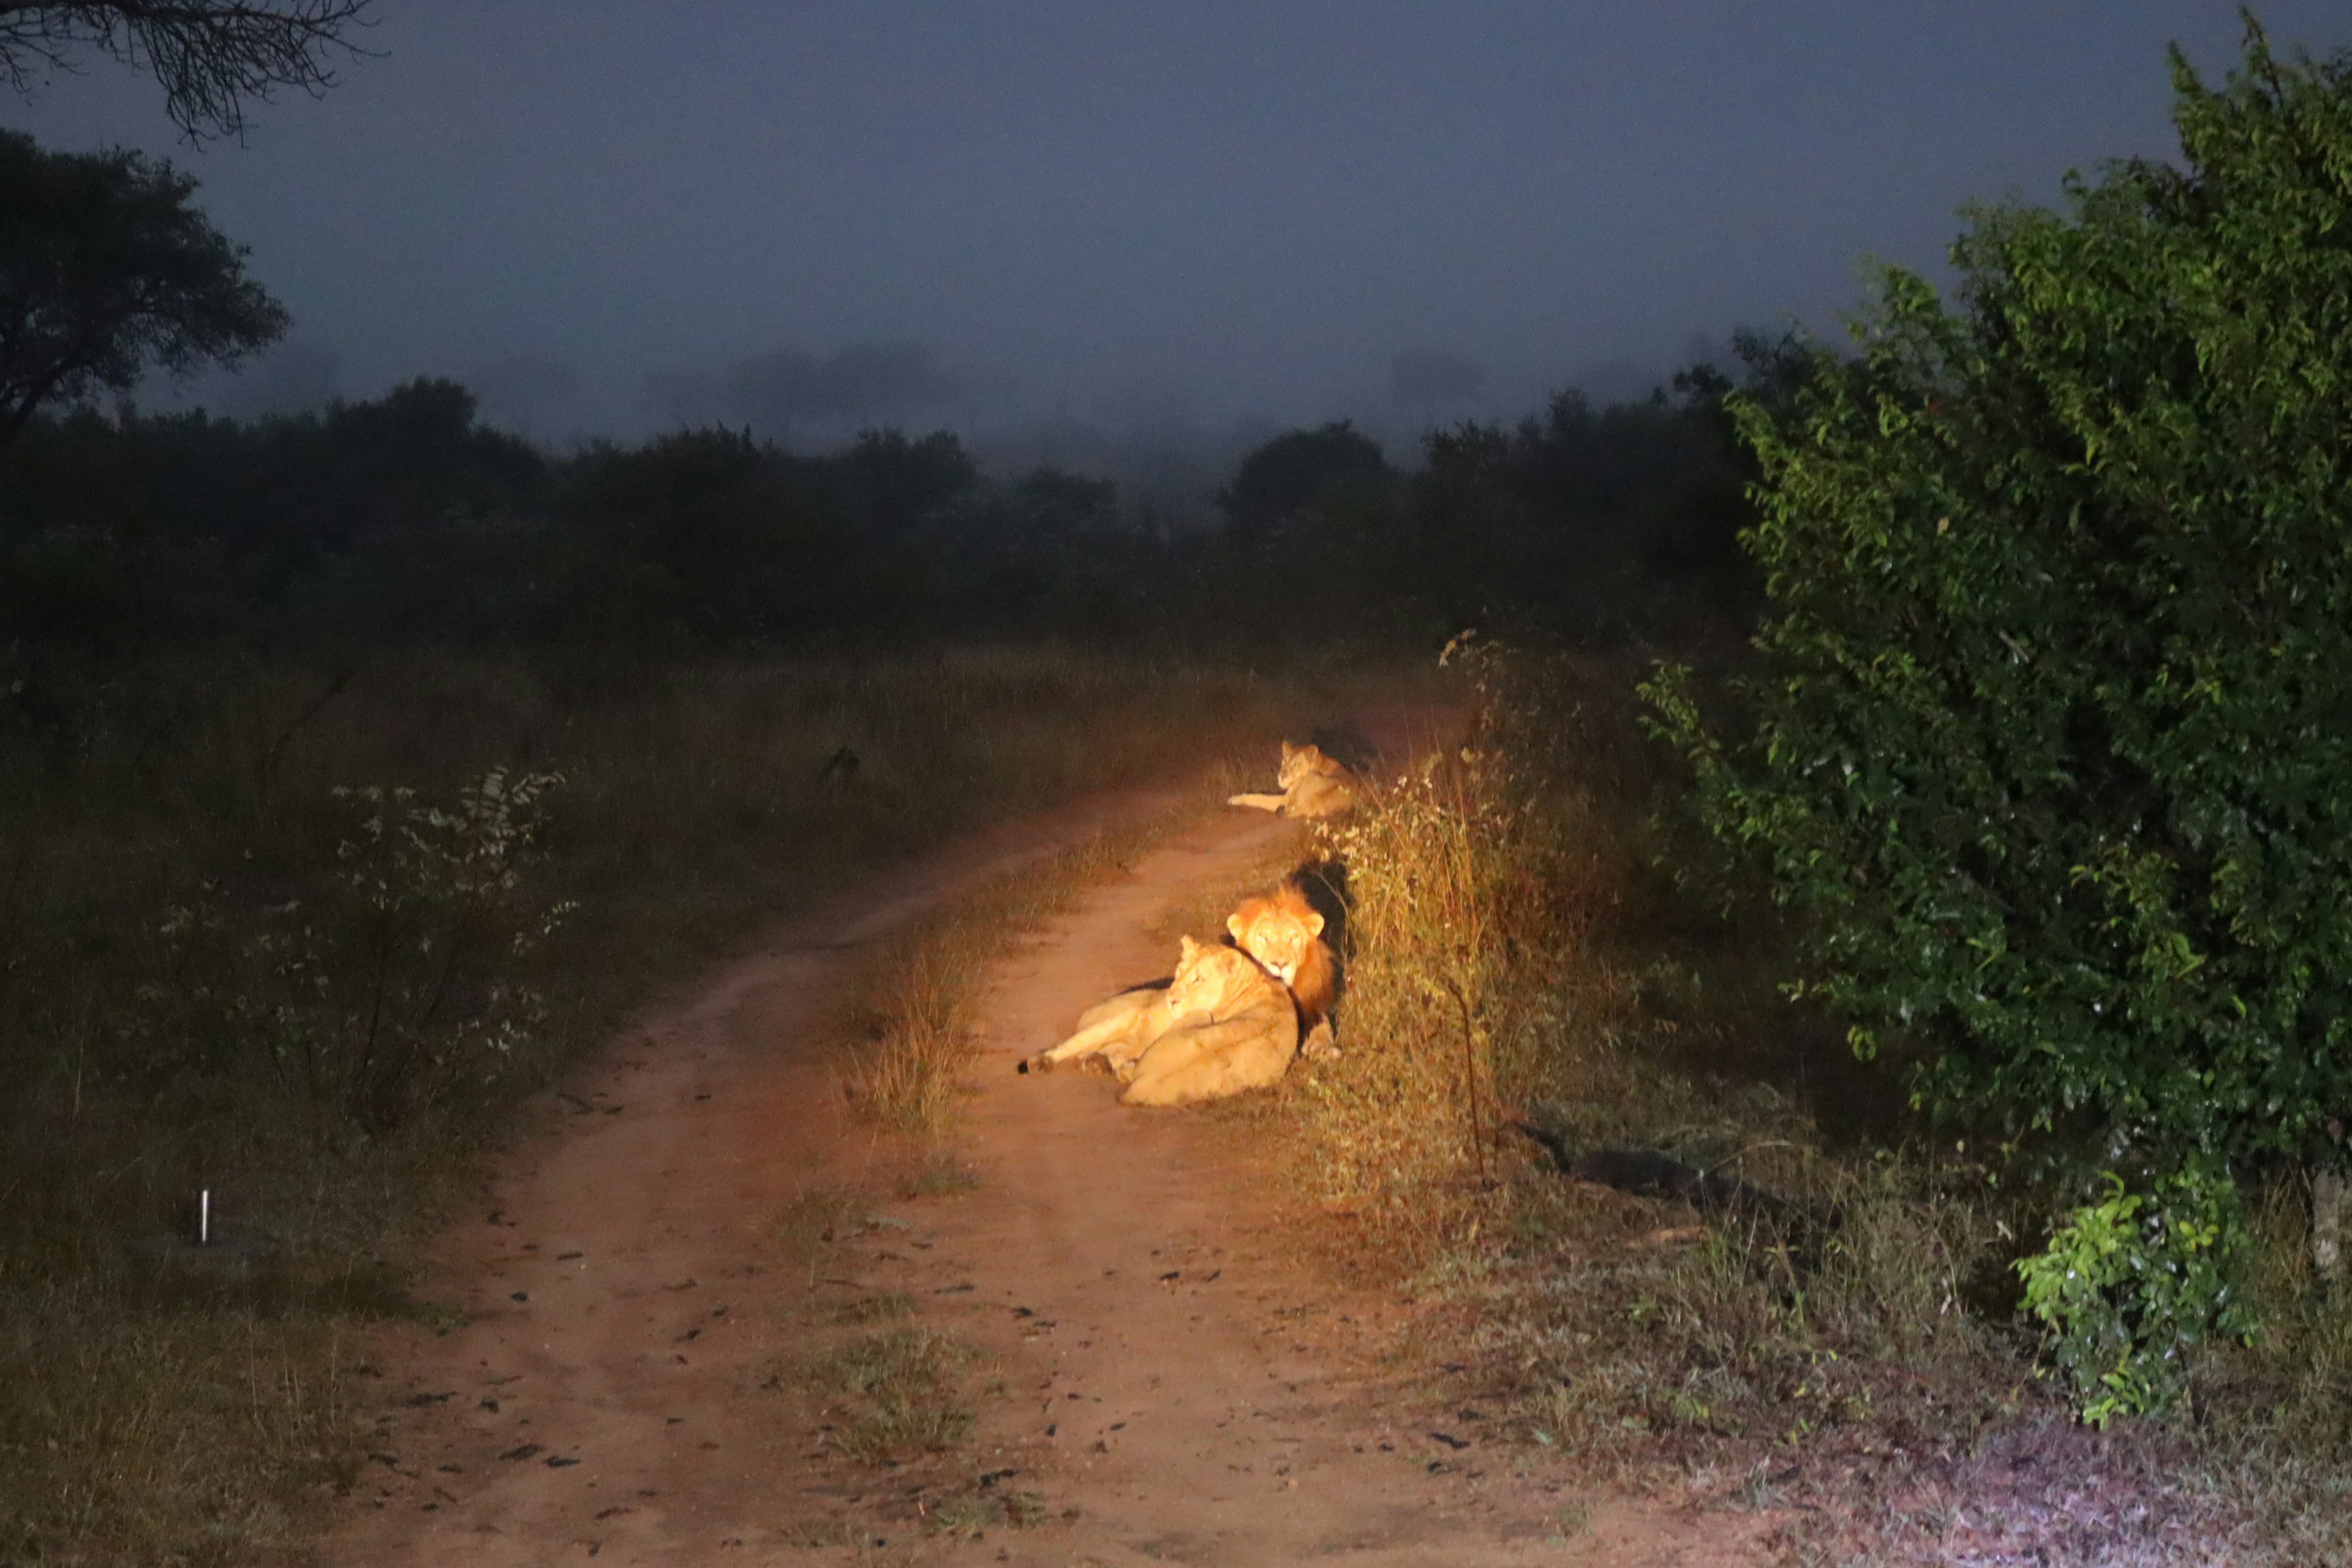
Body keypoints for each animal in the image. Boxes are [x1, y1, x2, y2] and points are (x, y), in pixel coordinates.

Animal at [1020, 940, 1298, 1109]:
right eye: (1180, 972)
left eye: (1199, 979)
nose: (1171, 998)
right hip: (1115, 1018)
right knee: (1071, 1046)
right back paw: (1048, 1062)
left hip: (1190, 1017)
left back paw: (1092, 1063)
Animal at [1223, 747, 1354, 823]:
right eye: (1285, 761)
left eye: (1296, 764)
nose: (1282, 776)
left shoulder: (1286, 799)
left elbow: (1261, 797)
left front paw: (1235, 799)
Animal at [1223, 879, 1336, 1062]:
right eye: (1263, 937)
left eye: (1294, 937)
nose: (1280, 964)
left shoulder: (1314, 1007)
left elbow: (1324, 1027)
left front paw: (1324, 1048)